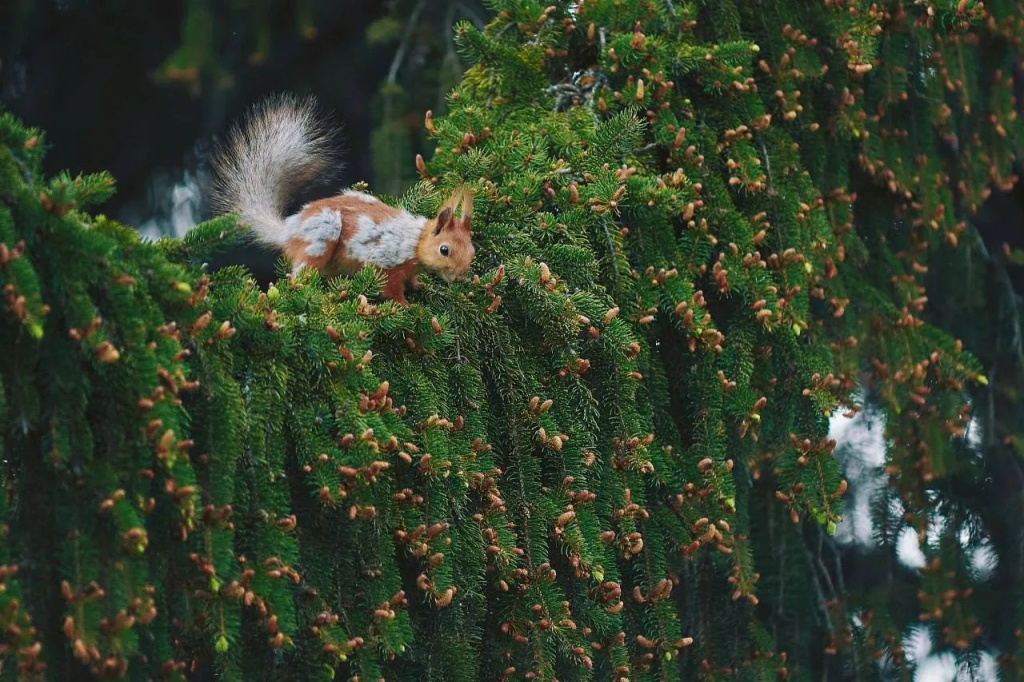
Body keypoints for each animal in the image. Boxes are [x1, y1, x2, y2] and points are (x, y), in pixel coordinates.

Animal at [209, 93, 475, 306]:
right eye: (444, 250)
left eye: (472, 249)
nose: (461, 276)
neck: (416, 241)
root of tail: (288, 230)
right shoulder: (385, 262)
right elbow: (391, 289)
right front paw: (407, 307)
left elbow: (412, 279)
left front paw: (420, 285)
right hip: (320, 241)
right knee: (300, 275)